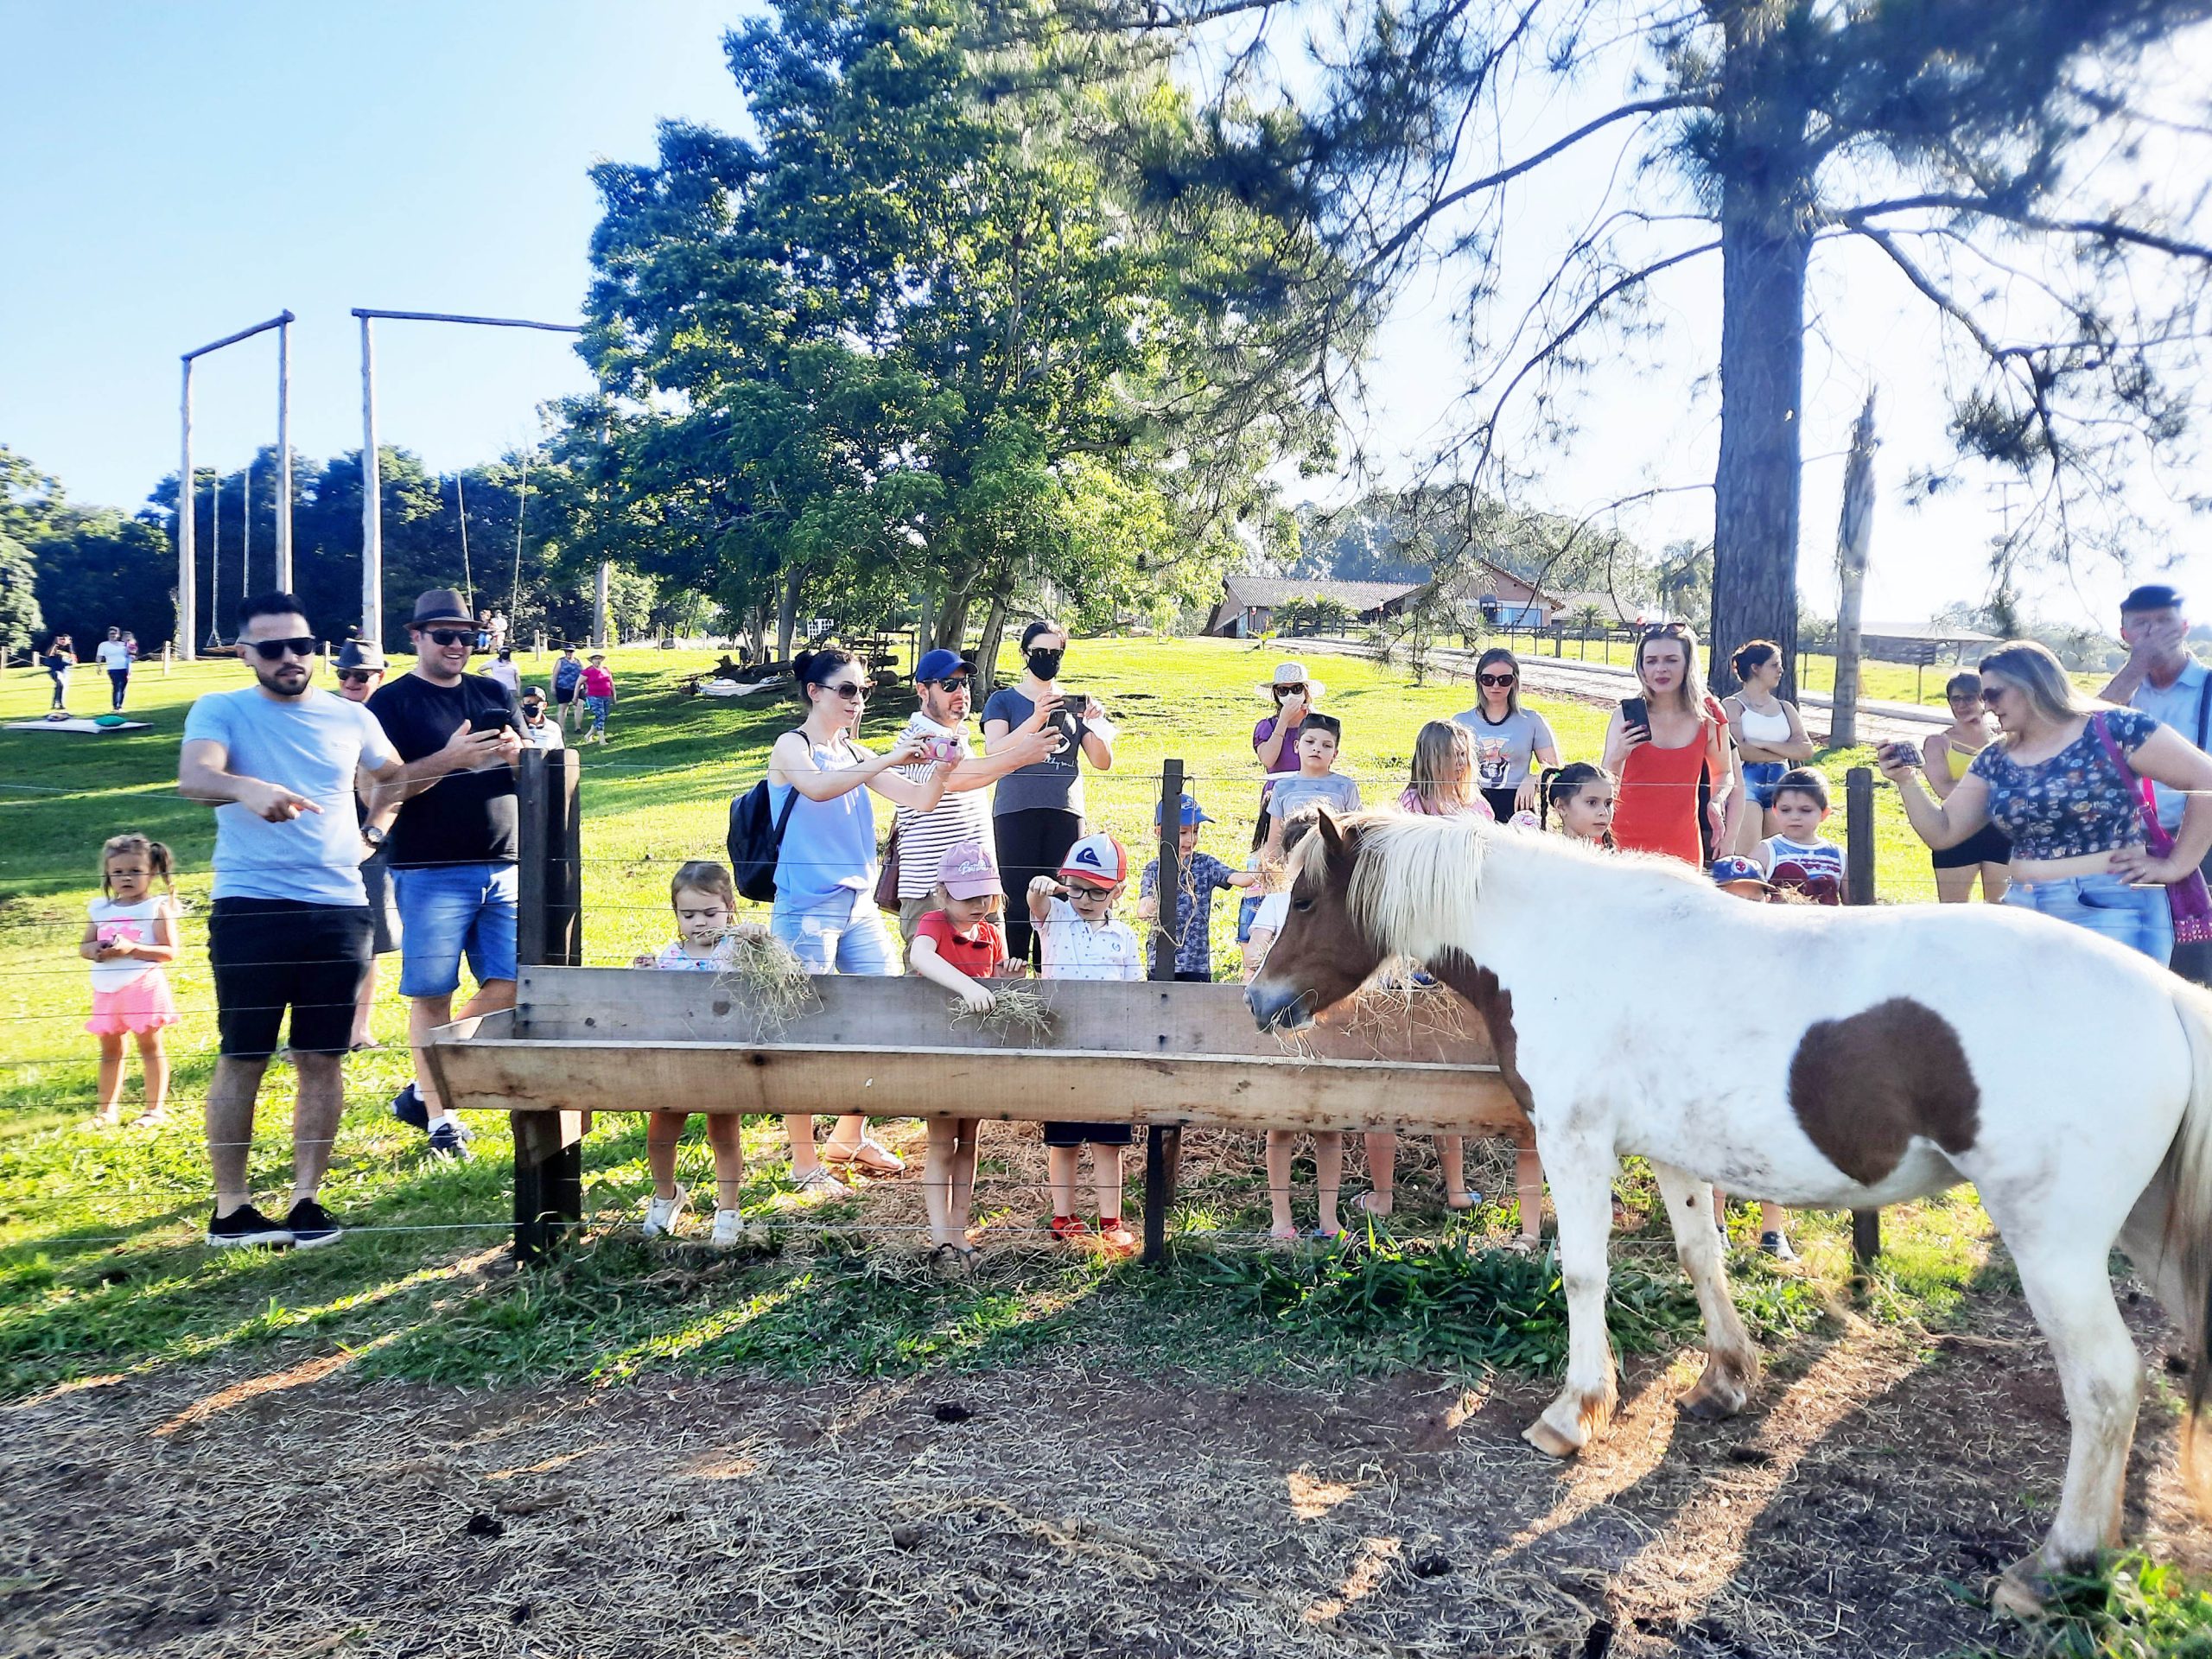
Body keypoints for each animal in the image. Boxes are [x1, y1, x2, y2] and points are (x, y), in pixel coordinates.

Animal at [1247, 814, 2212, 1618]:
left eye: (1305, 897)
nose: (1260, 1001)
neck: (1564, 942)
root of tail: (2165, 996)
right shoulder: (1673, 1152)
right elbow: (1699, 1255)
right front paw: (1724, 1380)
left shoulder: (1574, 1141)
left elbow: (1583, 1274)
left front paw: (1575, 1413)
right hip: (2147, 1237)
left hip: (2056, 1248)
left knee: (2105, 1385)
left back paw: (2053, 1569)